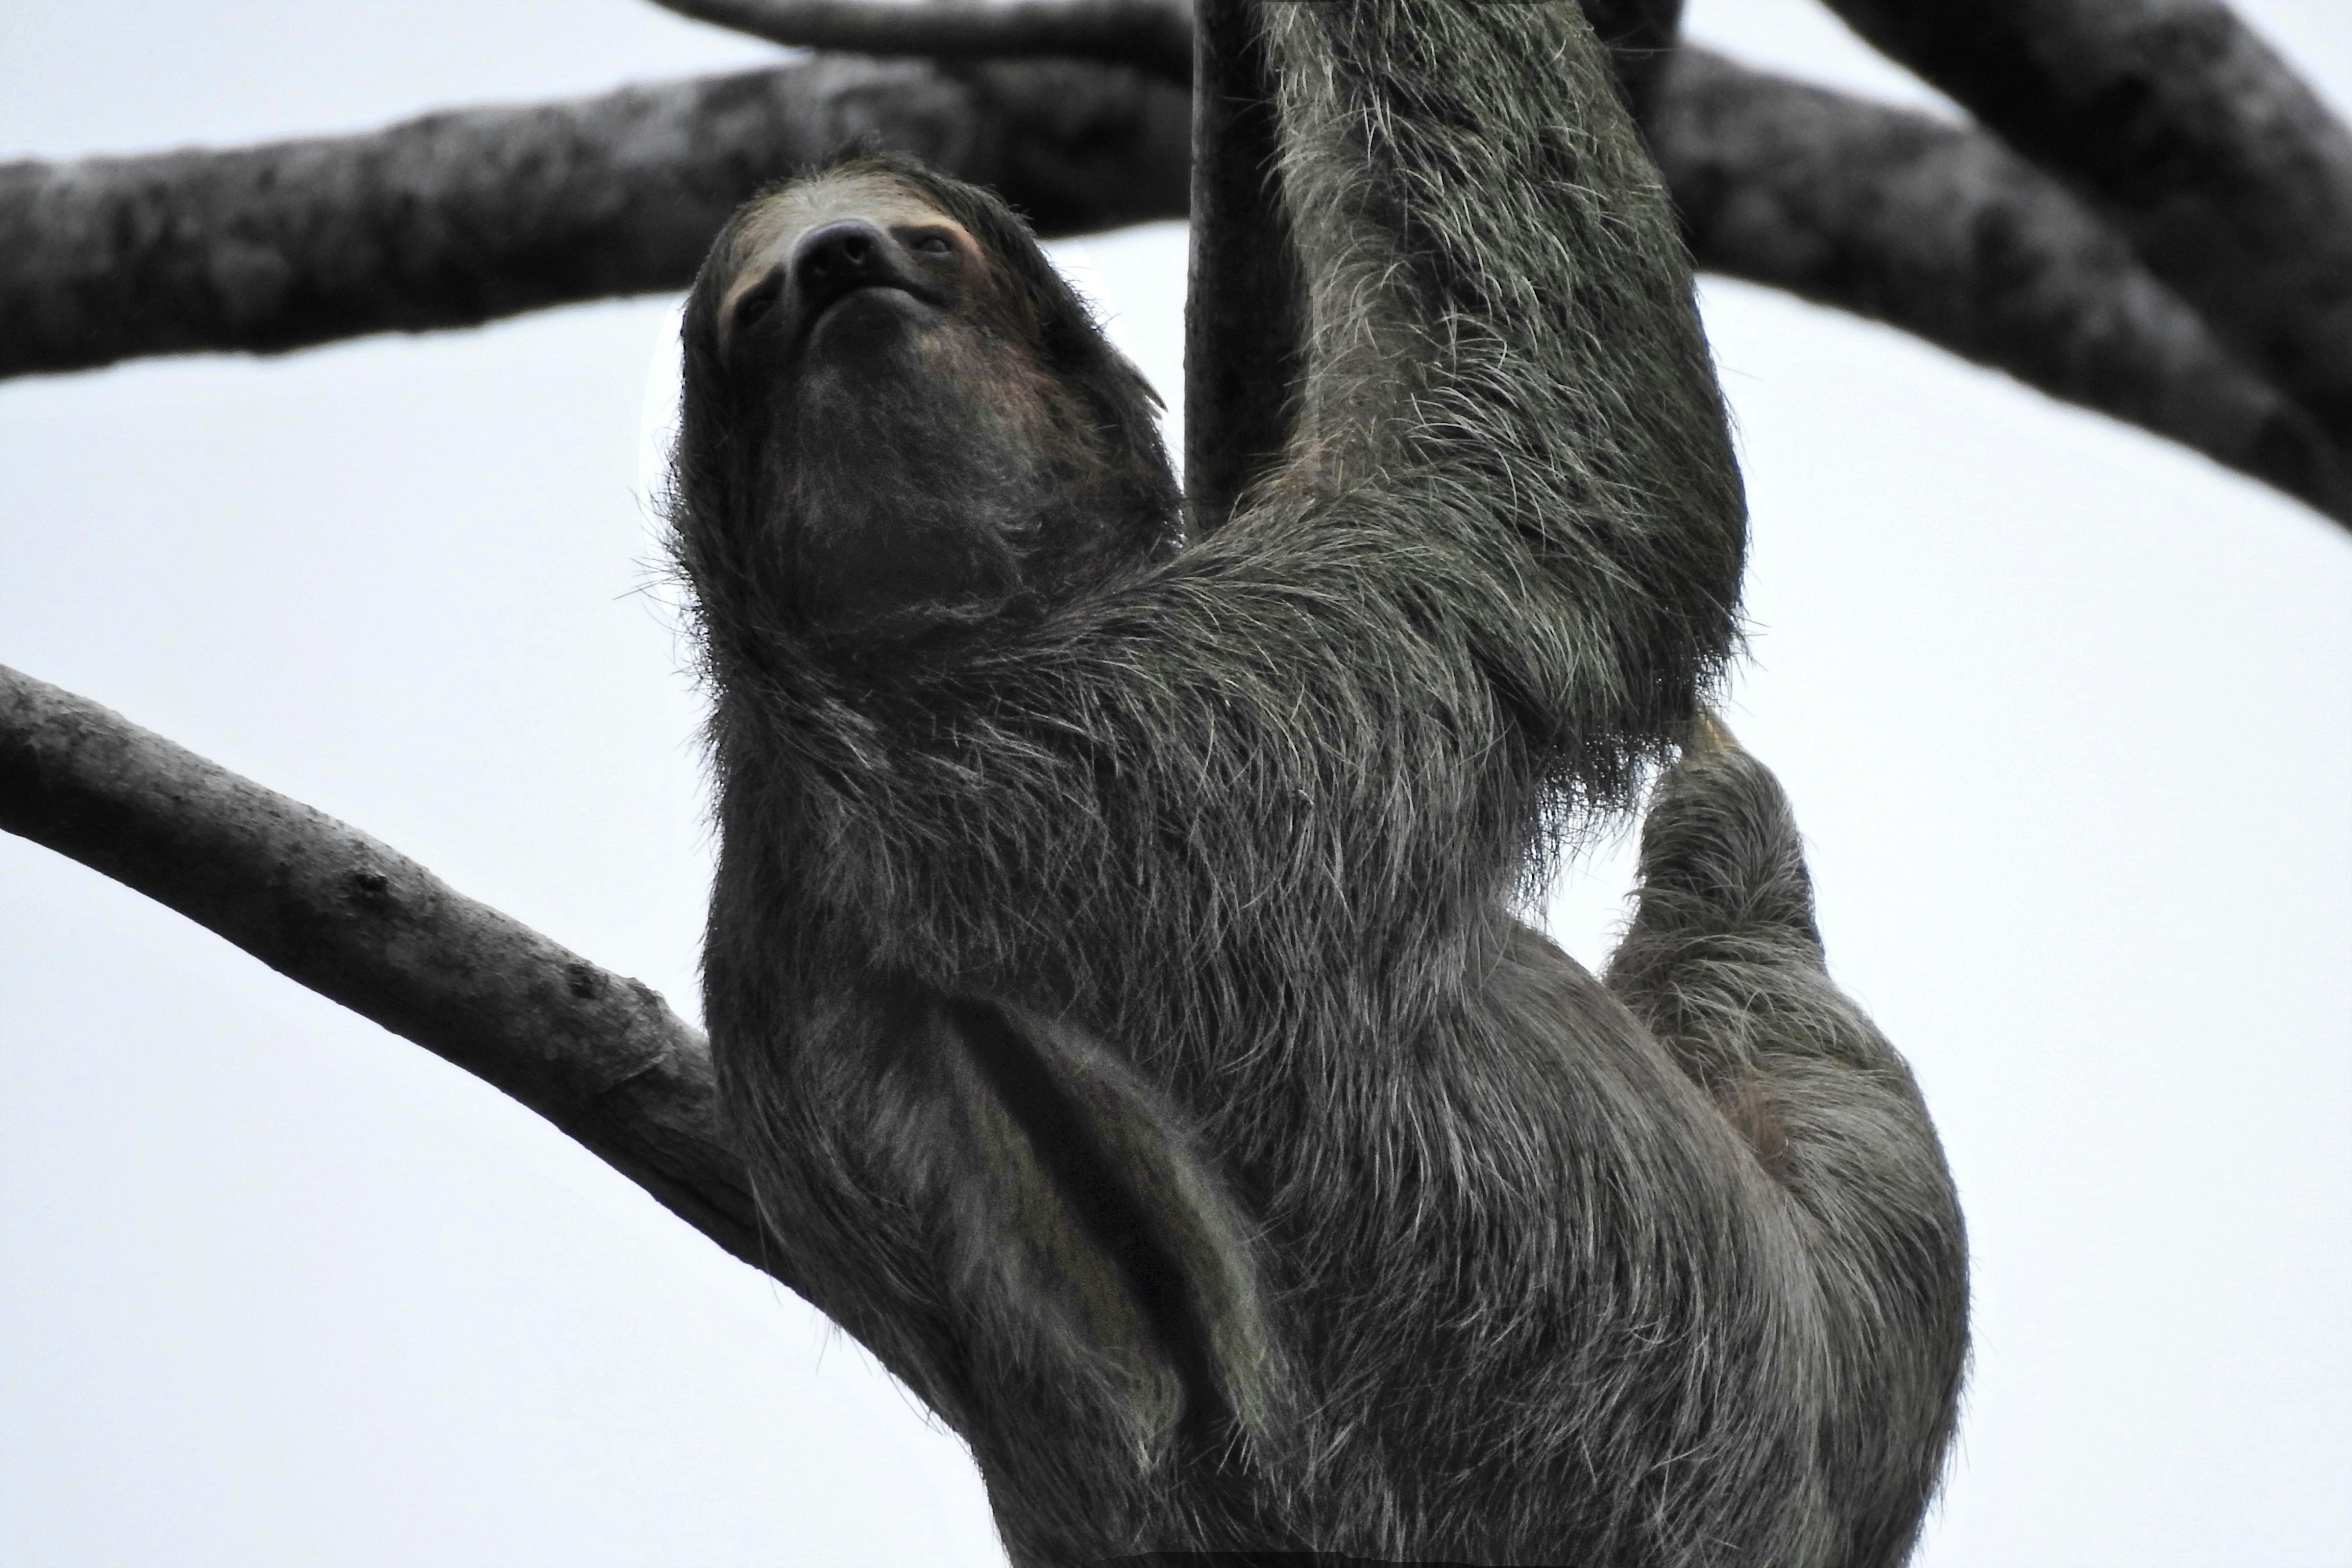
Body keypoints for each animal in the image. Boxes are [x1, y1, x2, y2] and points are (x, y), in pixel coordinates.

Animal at [665, 2, 1967, 1563]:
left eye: (924, 243)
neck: (892, 672)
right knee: (1797, 1026)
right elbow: (1567, 465)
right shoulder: (1219, 709)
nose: (838, 266)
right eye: (758, 314)